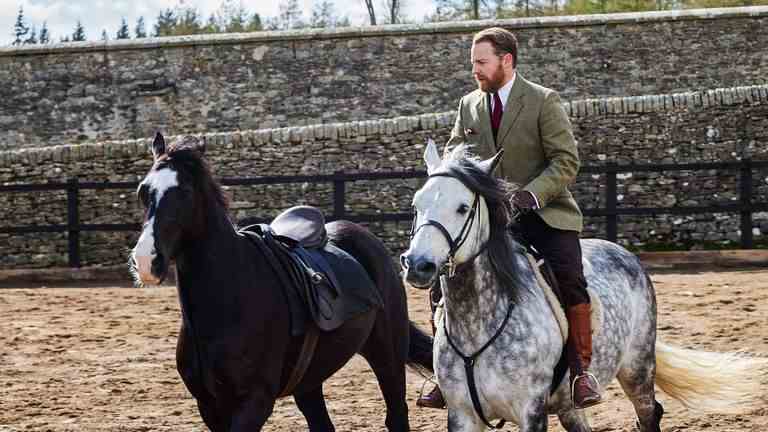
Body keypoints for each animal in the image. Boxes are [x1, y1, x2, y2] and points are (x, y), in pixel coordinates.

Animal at [129, 133, 436, 430]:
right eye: (143, 191)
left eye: (184, 191)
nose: (145, 261)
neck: (231, 295)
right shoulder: (210, 406)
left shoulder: (255, 401)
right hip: (310, 380)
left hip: (387, 356)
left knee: (396, 416)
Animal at [402, 142, 768, 432]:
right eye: (416, 205)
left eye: (463, 207)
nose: (417, 264)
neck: (479, 323)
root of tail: (624, 253)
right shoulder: (462, 415)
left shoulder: (530, 411)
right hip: (569, 404)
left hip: (637, 370)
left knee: (649, 413)